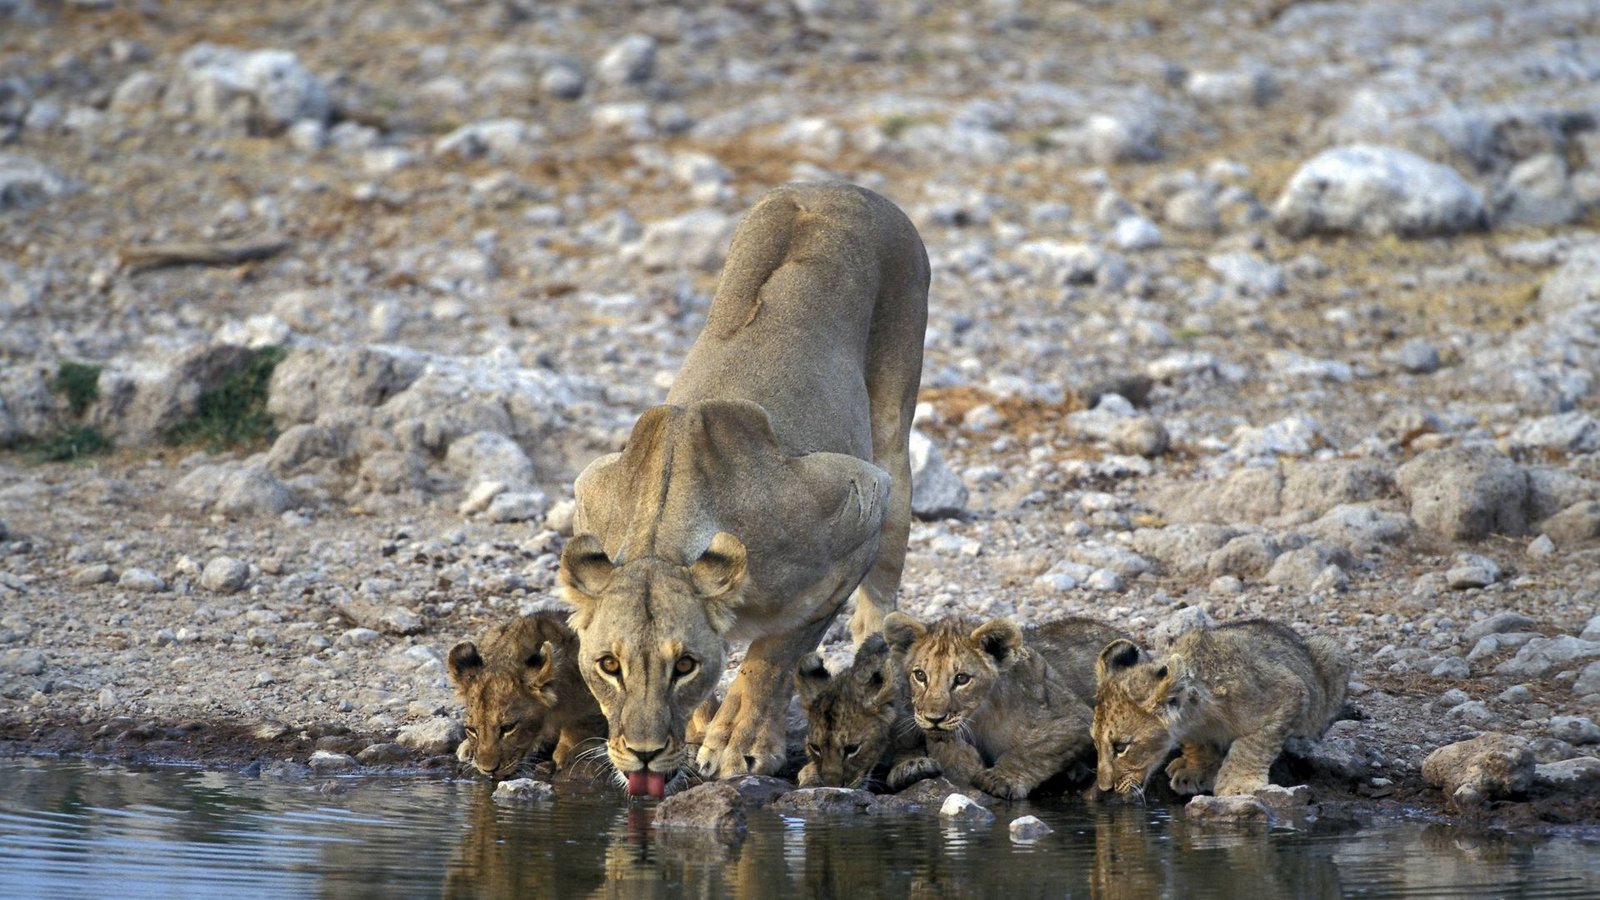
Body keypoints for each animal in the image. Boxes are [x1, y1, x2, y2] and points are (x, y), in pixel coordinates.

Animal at [794, 633, 940, 791]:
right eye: (815, 747)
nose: (832, 786)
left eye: (852, 748)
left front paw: (911, 766)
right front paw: (810, 777)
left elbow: (910, 745)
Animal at [883, 611, 1129, 799]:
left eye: (962, 679)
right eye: (920, 675)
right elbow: (949, 753)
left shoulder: (1074, 717)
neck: (979, 717)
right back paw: (912, 767)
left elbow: (1033, 751)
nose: (934, 718)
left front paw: (999, 778)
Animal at [1092, 618, 1350, 798]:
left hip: (1331, 651)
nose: (1105, 788)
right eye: (1095, 743)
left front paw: (1238, 784)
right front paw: (1195, 770)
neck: (1202, 717)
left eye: (1121, 747)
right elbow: (1200, 746)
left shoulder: (1289, 691)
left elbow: (1253, 744)